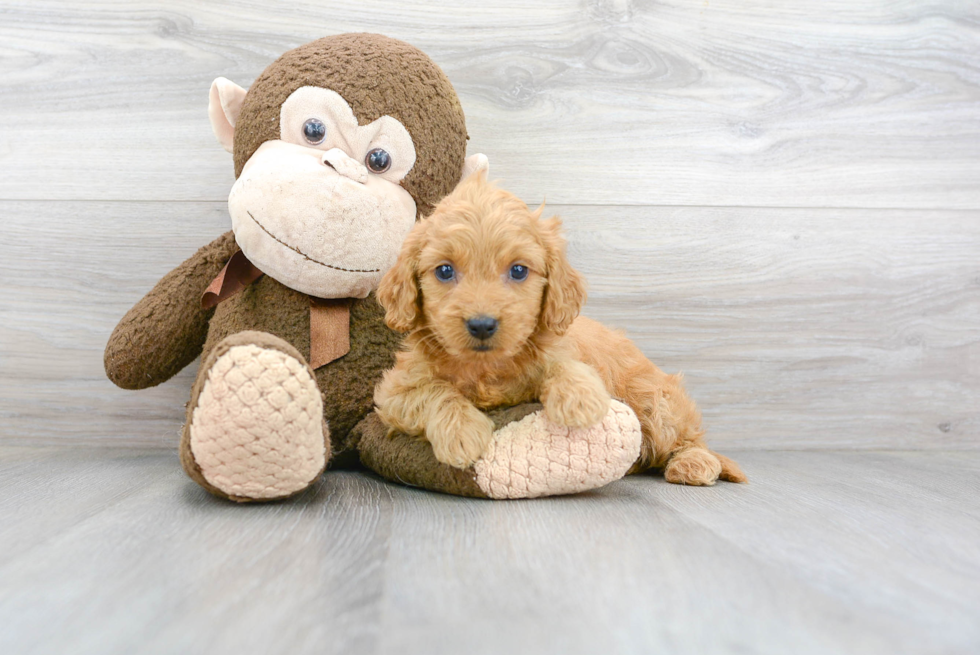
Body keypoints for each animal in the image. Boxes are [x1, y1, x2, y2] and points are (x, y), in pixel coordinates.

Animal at [374, 174, 744, 486]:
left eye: (519, 270)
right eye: (445, 271)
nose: (481, 324)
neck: (486, 369)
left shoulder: (562, 348)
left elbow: (562, 362)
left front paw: (580, 398)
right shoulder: (394, 392)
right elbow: (435, 391)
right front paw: (461, 431)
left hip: (658, 405)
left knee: (689, 439)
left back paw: (694, 463)